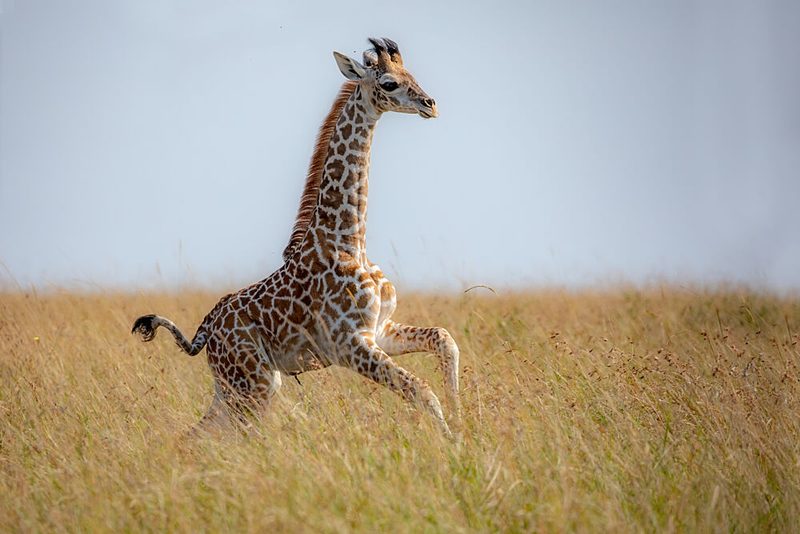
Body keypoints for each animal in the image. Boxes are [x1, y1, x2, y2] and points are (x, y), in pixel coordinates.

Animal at [132, 38, 461, 439]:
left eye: (410, 73)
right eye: (389, 83)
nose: (431, 105)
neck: (349, 240)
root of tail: (205, 329)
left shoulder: (381, 329)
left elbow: (445, 340)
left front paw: (464, 422)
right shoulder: (350, 344)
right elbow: (422, 390)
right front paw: (453, 443)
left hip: (239, 383)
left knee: (200, 433)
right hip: (252, 382)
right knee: (238, 435)